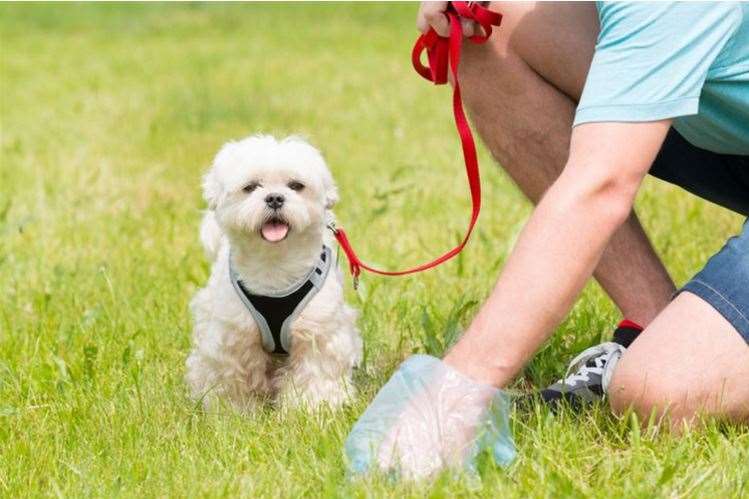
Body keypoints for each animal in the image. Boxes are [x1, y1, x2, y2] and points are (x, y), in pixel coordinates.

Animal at [186, 135, 362, 412]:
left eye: (296, 186)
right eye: (250, 187)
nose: (275, 198)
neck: (274, 266)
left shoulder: (318, 331)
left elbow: (315, 372)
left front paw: (311, 409)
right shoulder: (234, 335)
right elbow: (234, 376)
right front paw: (236, 411)